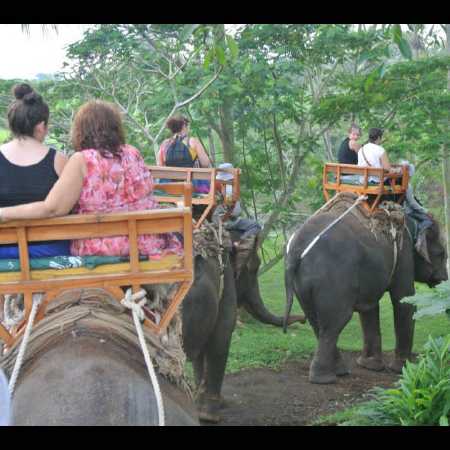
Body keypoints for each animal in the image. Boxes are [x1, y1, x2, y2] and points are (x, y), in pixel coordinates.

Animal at [284, 196, 446, 384]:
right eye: (442, 254)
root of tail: (295, 250)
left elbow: (370, 307)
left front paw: (370, 366)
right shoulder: (403, 252)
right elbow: (404, 300)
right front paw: (402, 370)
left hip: (302, 283)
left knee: (316, 321)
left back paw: (338, 371)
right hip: (333, 279)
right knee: (336, 322)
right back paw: (326, 378)